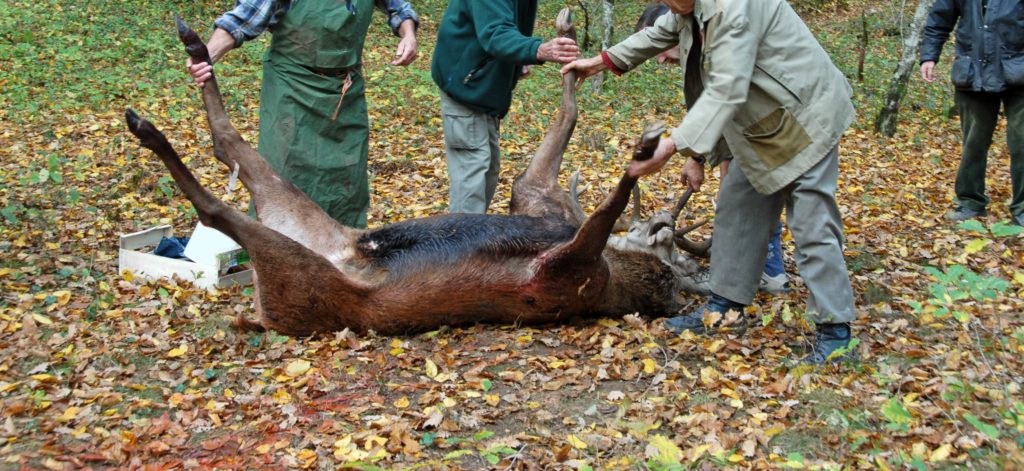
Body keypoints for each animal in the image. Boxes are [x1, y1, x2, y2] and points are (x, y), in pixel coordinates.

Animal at [123, 9, 708, 335]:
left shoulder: (562, 272)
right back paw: (191, 55)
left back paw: (151, 123)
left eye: (669, 265)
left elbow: (611, 192)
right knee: (227, 146)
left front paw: (647, 146)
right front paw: (568, 46)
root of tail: (258, 312)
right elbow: (570, 116)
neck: (617, 274)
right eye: (666, 247)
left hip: (298, 274)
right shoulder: (534, 195)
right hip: (300, 228)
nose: (663, 224)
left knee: (216, 202)